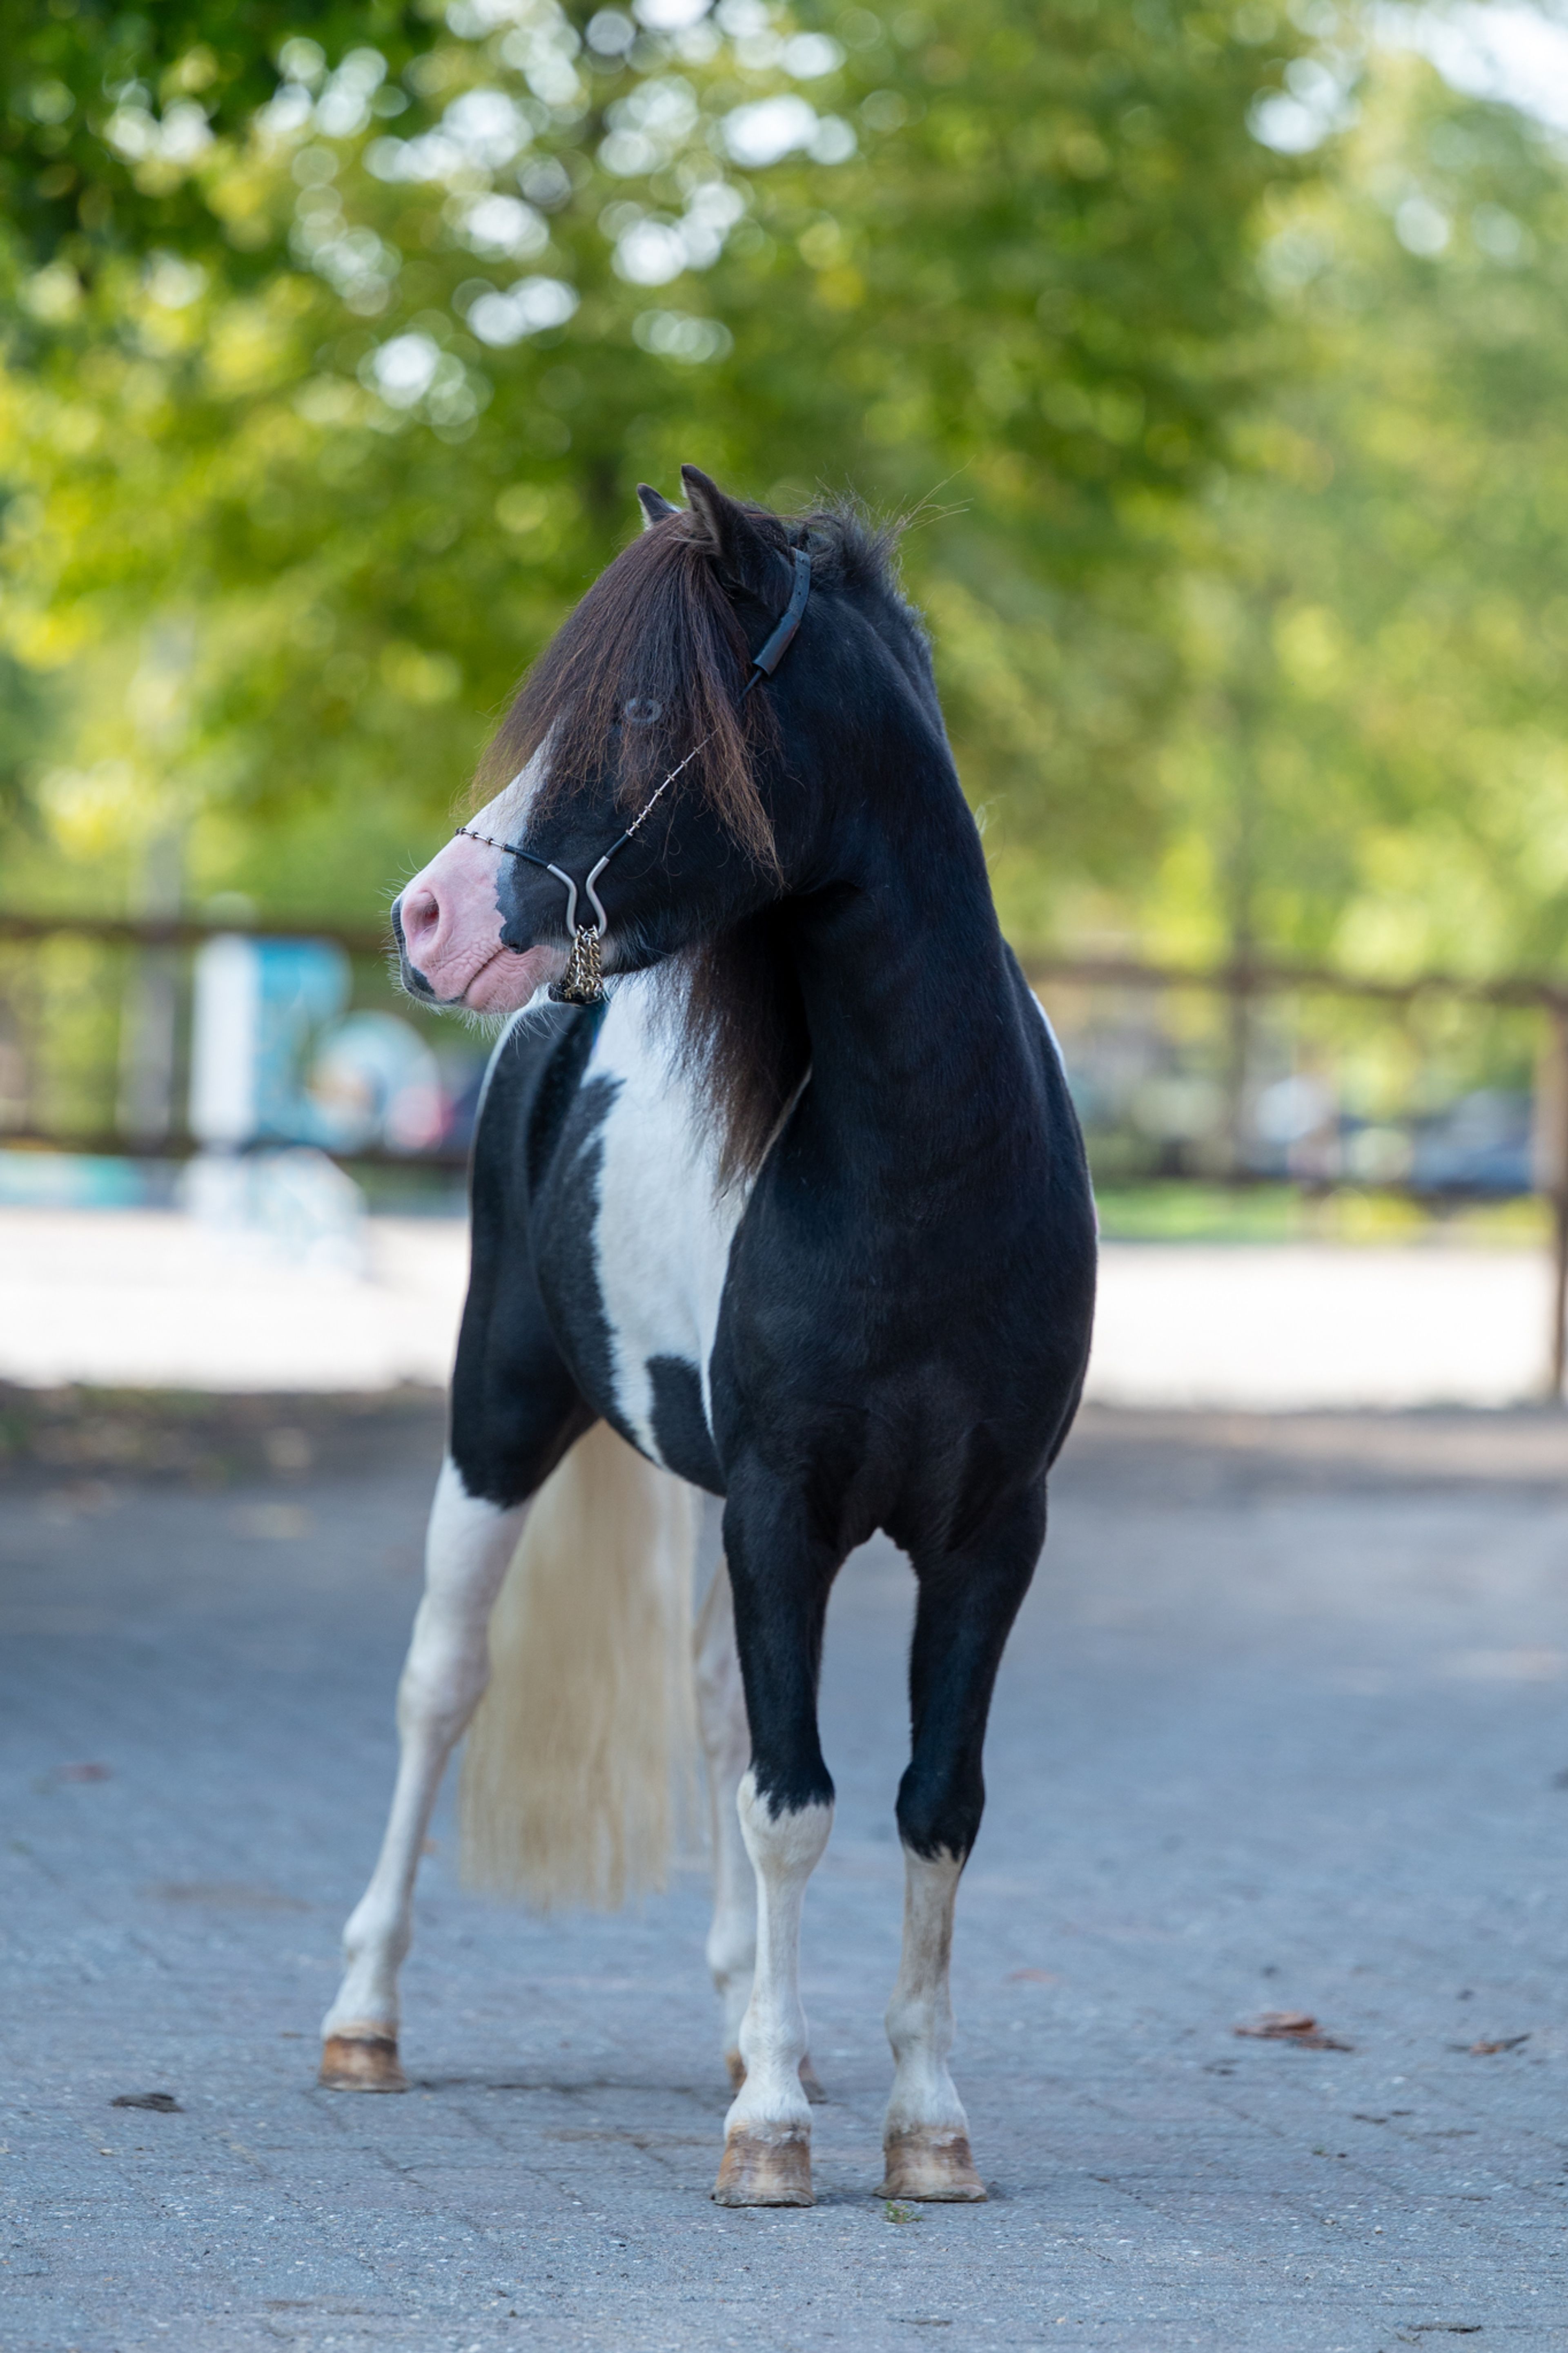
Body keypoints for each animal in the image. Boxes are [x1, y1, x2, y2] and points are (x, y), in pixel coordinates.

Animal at [318, 466, 1097, 2208]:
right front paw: (773, 2137)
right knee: (437, 1686)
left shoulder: (984, 1535)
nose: (426, 917)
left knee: (718, 1715)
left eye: (644, 706)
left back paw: (752, 2022)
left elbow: (931, 1804)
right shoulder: (783, 1510)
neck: (923, 1180)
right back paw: (364, 2020)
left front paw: (922, 2122)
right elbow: (792, 1801)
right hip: (502, 1421)